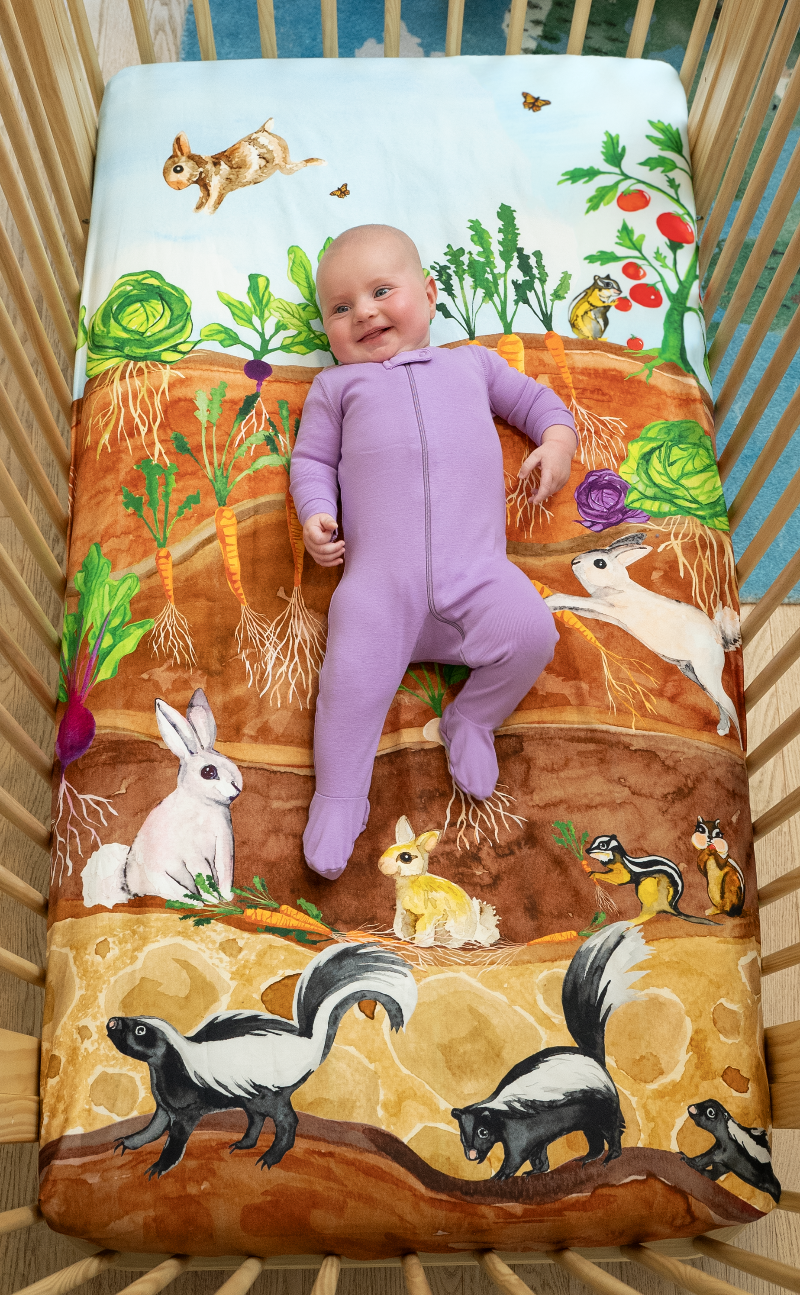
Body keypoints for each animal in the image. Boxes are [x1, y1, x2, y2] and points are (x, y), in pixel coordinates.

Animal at [81, 688, 243, 911]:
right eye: (209, 772)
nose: (237, 789)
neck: (202, 803)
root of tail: (129, 888)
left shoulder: (225, 847)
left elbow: (225, 872)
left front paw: (226, 898)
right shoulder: (193, 854)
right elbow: (204, 874)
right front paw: (213, 901)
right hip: (163, 880)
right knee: (176, 895)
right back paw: (198, 903)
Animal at [106, 937, 416, 1181]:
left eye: (140, 1030)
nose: (111, 1022)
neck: (174, 1058)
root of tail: (307, 1042)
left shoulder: (187, 1104)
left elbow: (176, 1136)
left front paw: (158, 1166)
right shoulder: (165, 1102)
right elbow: (154, 1126)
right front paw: (128, 1142)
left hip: (270, 1091)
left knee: (286, 1120)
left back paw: (270, 1157)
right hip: (250, 1094)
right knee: (256, 1118)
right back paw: (244, 1144)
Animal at [161, 121, 323, 214]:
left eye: (178, 169)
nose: (174, 187)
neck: (203, 169)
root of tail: (265, 130)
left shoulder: (218, 189)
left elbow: (211, 206)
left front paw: (206, 214)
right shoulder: (204, 191)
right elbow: (201, 204)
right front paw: (195, 212)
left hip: (284, 165)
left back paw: (320, 161)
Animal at [447, 916, 647, 1181]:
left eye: (483, 1132)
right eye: (463, 1134)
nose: (471, 1154)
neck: (497, 1107)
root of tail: (592, 1058)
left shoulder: (521, 1127)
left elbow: (517, 1152)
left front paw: (500, 1175)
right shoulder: (535, 1130)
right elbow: (537, 1152)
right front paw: (535, 1171)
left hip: (600, 1104)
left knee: (611, 1128)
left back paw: (610, 1156)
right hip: (588, 1114)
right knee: (593, 1135)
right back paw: (588, 1158)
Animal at [541, 530, 740, 745]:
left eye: (600, 563)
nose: (574, 562)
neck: (617, 585)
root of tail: (719, 637)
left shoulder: (608, 607)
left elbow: (571, 599)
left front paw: (548, 601)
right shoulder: (601, 612)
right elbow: (575, 606)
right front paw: (551, 606)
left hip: (705, 672)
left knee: (730, 704)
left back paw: (738, 739)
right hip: (690, 672)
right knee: (718, 701)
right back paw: (722, 728)